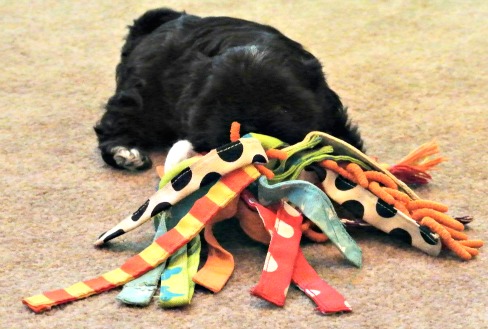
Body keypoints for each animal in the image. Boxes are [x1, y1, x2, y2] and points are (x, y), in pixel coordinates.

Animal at [94, 7, 362, 170]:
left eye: (284, 106)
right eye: (220, 104)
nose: (250, 128)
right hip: (140, 100)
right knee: (113, 126)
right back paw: (127, 153)